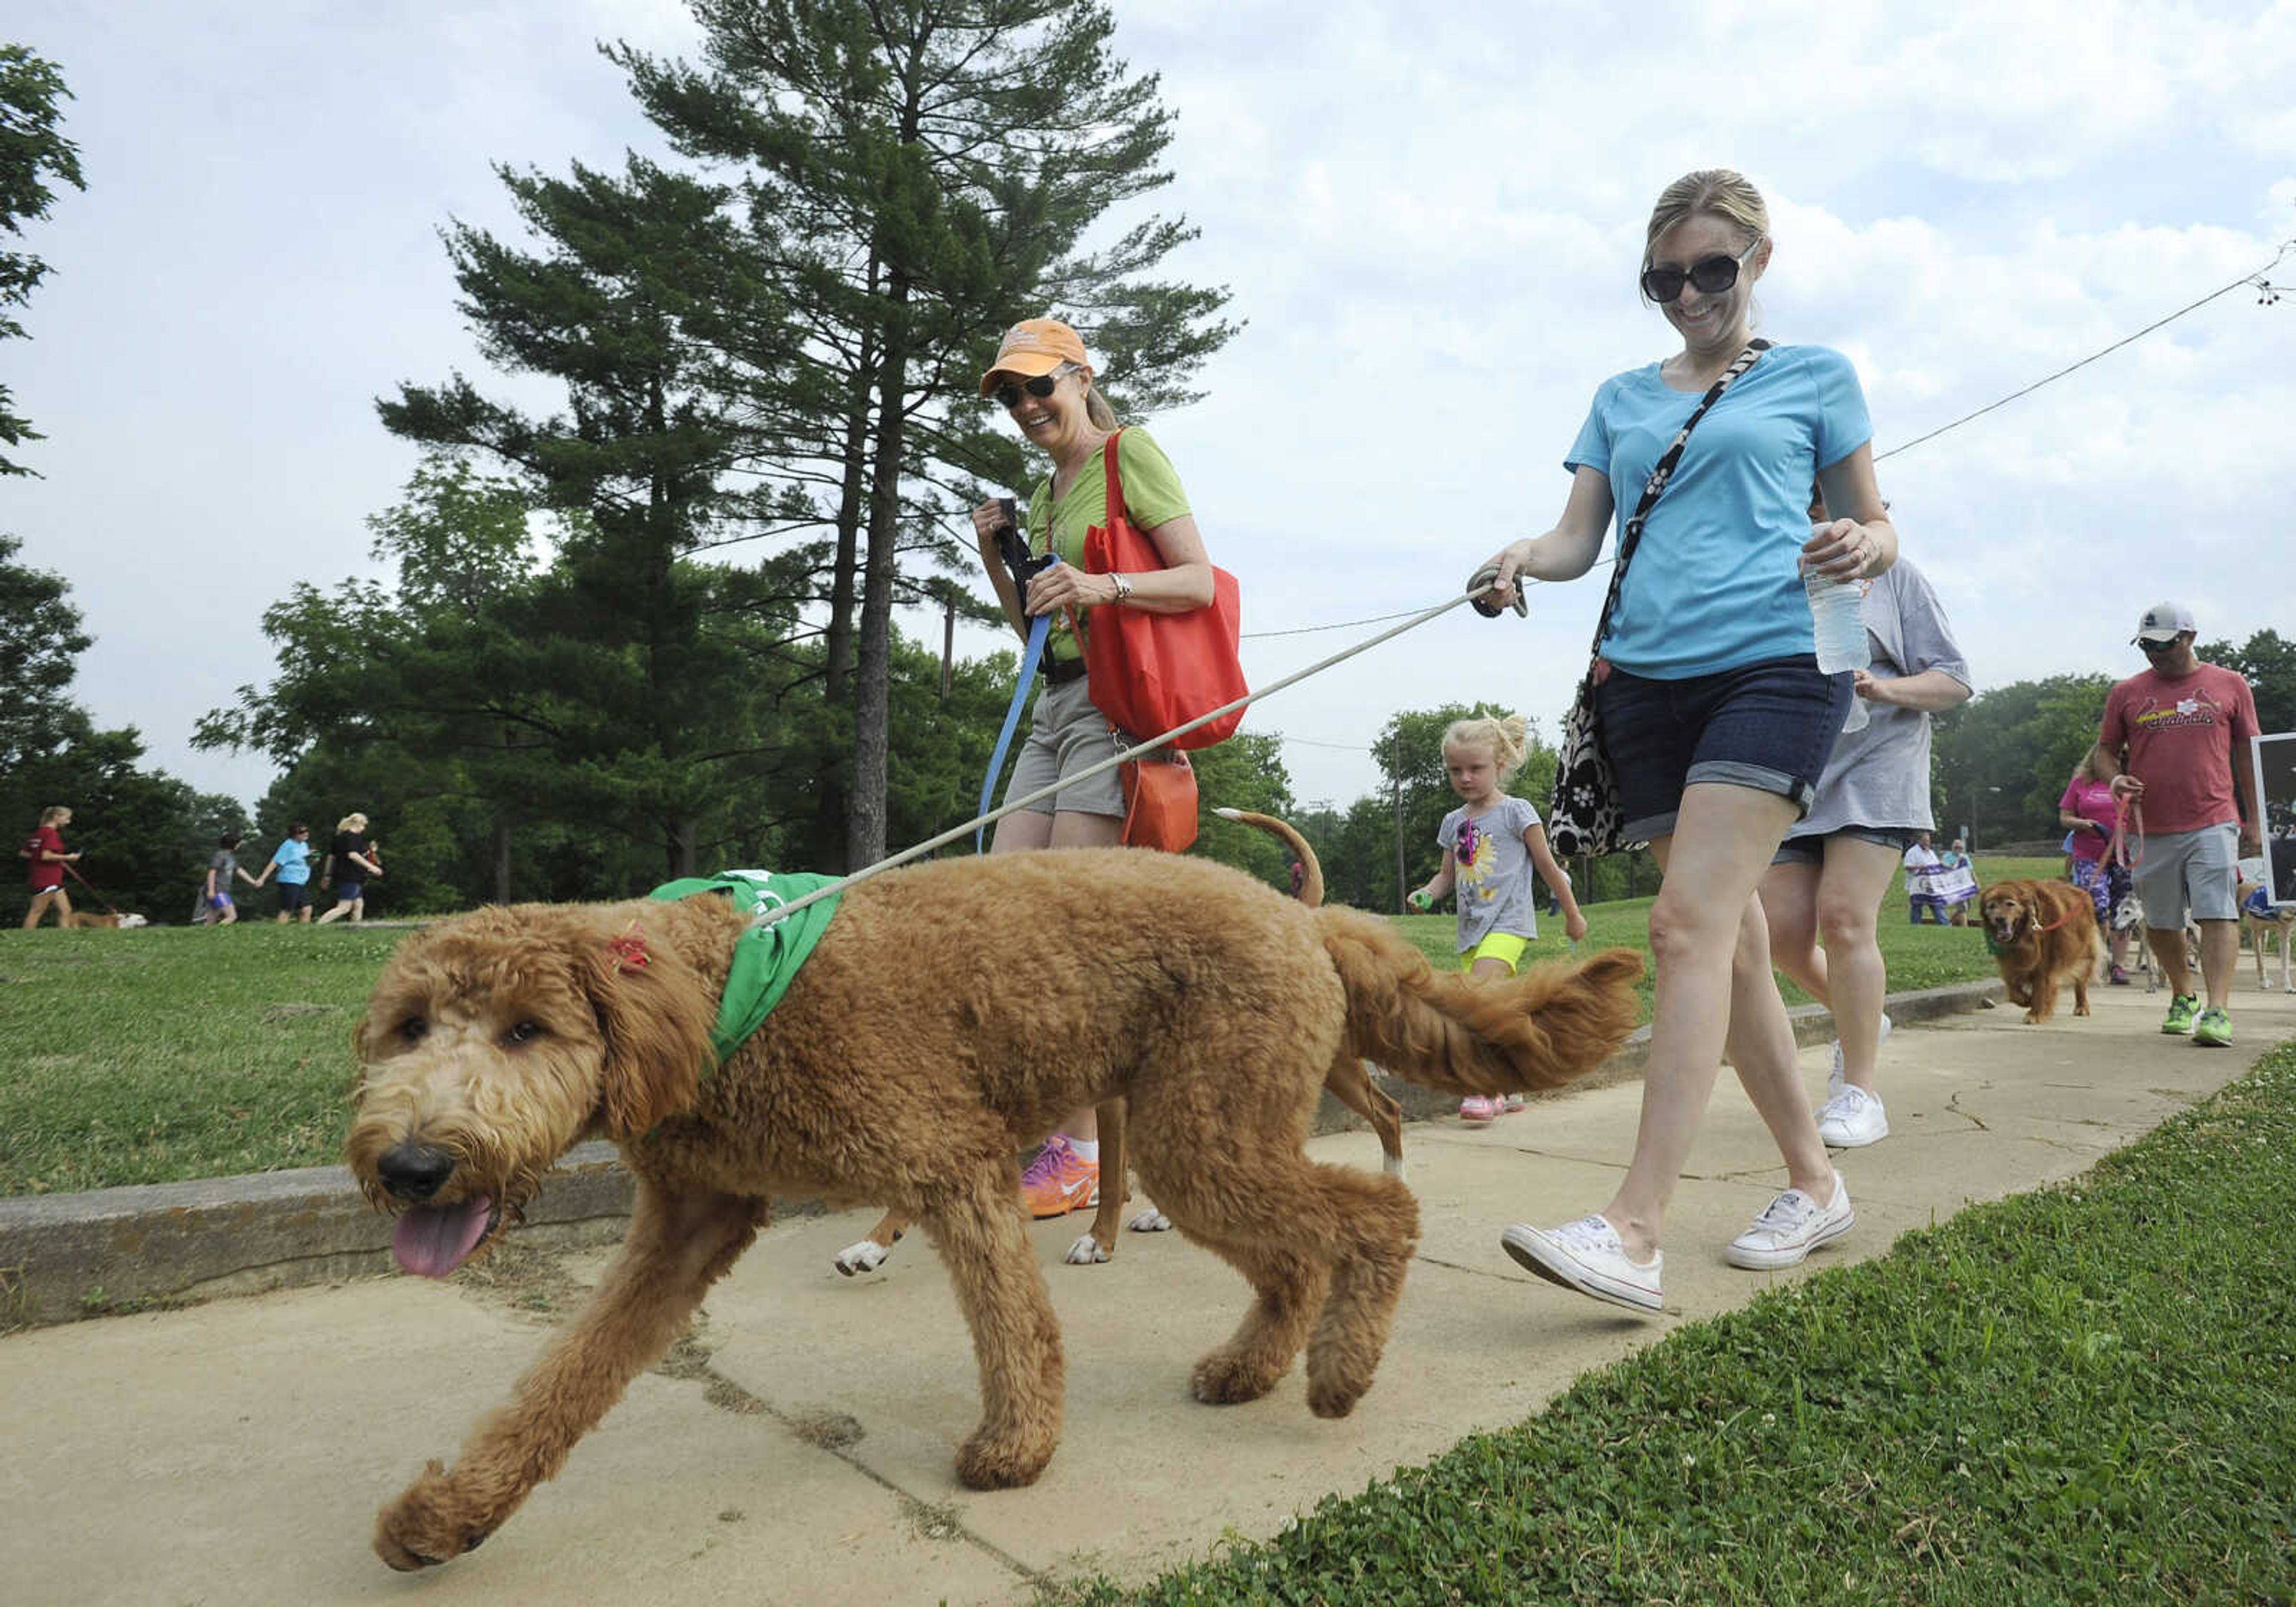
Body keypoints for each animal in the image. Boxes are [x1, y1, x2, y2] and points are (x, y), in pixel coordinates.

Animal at [340, 849, 1644, 1579]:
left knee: (1374, 1214)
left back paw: (1339, 1370)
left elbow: (1014, 1324)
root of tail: (1304, 917)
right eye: (409, 1027)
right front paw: (449, 1515)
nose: (410, 1164)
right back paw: (1250, 1366)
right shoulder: (687, 1226)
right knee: (1293, 1257)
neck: (716, 1001)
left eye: (528, 1028)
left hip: (1200, 1129)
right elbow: (559, 1386)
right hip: (1204, 1130)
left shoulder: (949, 1159)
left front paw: (1014, 1449)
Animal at [1983, 872, 2103, 1024]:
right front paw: (2026, 1001)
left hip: (2083, 953)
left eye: (2010, 904)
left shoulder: (2044, 963)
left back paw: (2082, 1007)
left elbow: (2041, 988)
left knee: (2081, 982)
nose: (1999, 919)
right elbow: (2012, 989)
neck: (2024, 933)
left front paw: (2036, 1014)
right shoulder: (2010, 962)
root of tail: (2082, 892)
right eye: (1991, 906)